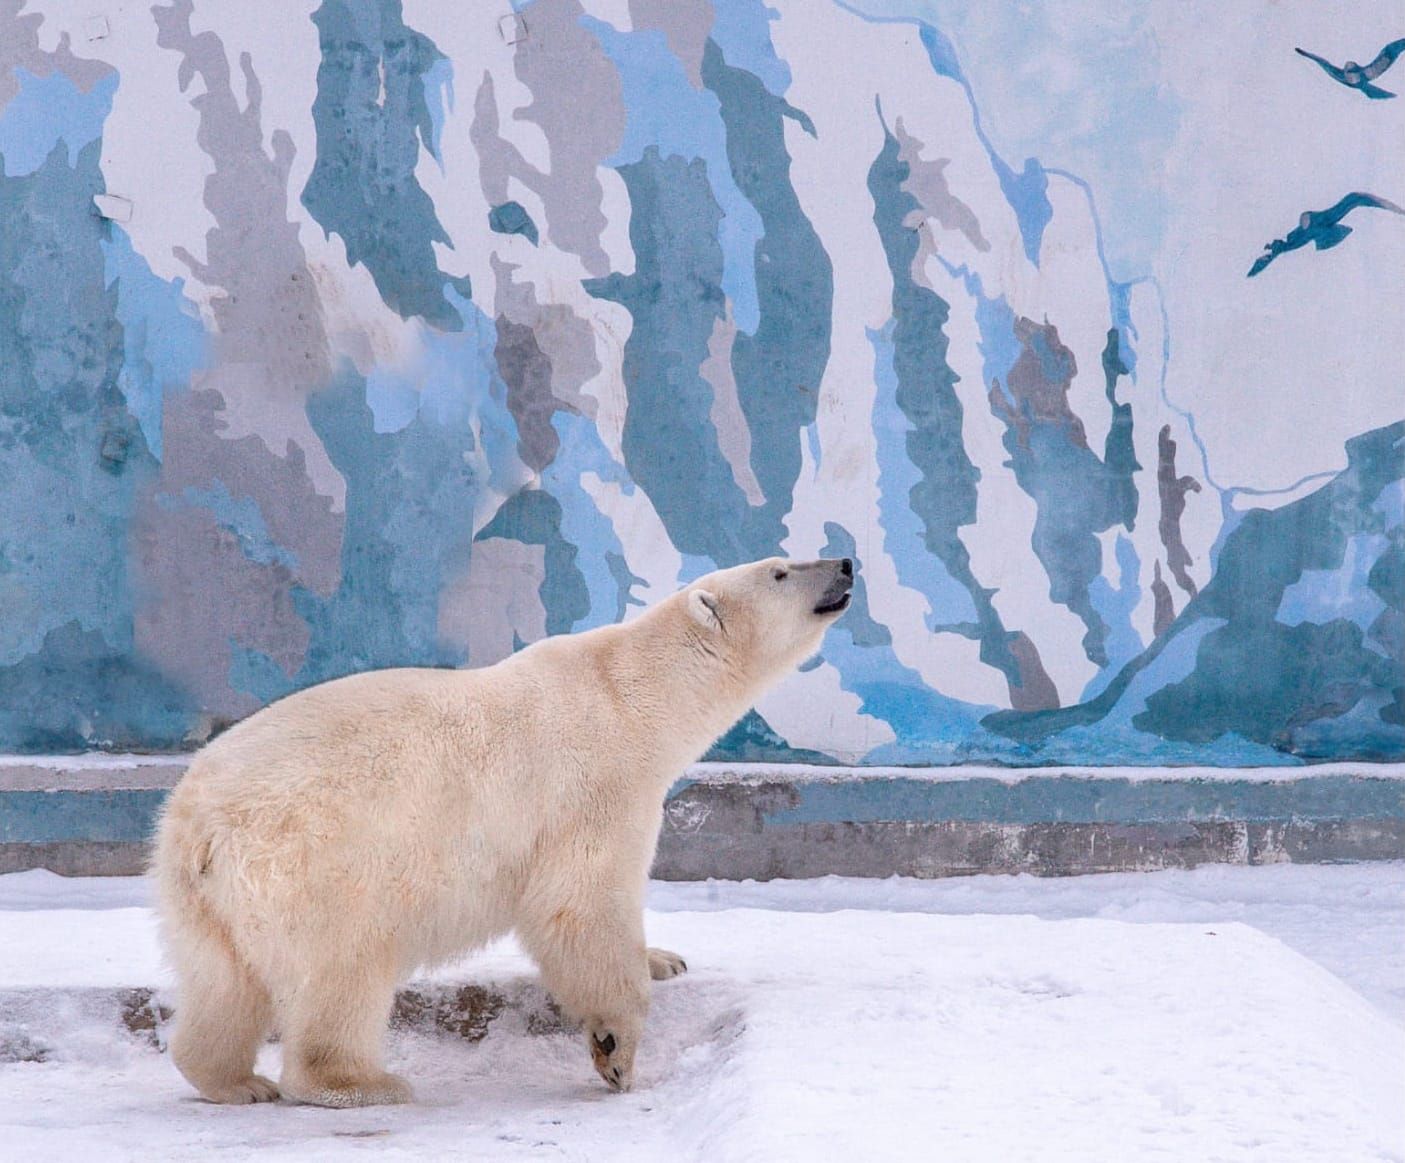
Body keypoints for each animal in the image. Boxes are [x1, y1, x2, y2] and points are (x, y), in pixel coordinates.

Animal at [153, 553, 854, 1106]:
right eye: (781, 570)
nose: (846, 563)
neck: (631, 694)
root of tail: (200, 828)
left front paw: (664, 959)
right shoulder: (596, 787)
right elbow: (582, 905)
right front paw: (616, 1049)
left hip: (205, 896)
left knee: (224, 983)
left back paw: (234, 1080)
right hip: (318, 862)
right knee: (344, 968)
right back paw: (360, 1083)